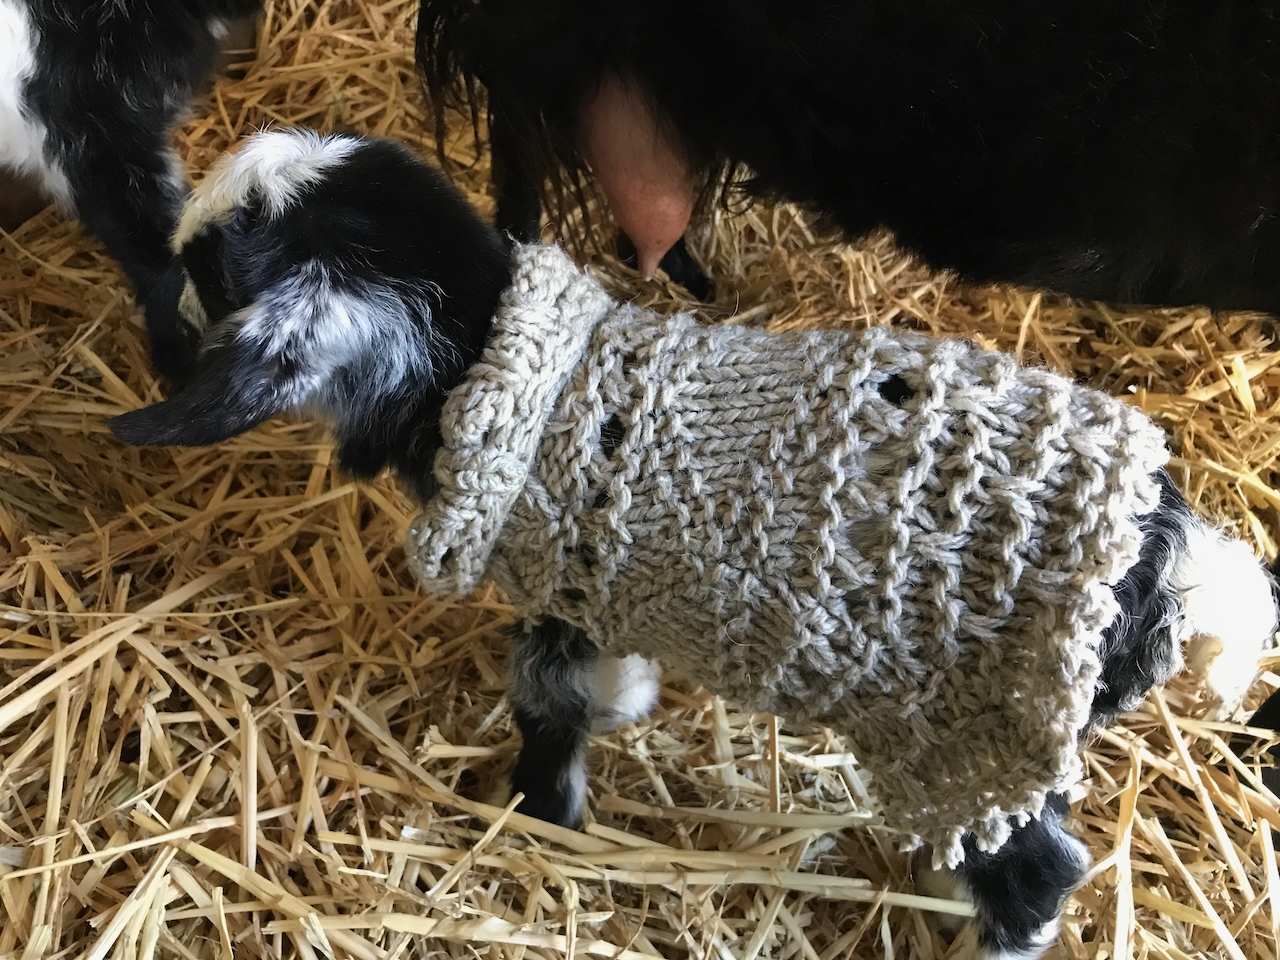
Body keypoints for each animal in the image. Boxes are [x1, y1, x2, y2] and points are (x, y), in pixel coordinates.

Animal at [109, 130, 1278, 960]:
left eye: (213, 265)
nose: (162, 286)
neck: (490, 362)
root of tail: (1162, 549)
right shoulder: (593, 585)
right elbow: (608, 681)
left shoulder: (555, 584)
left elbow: (552, 704)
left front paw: (536, 817)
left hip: (972, 736)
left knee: (1034, 875)